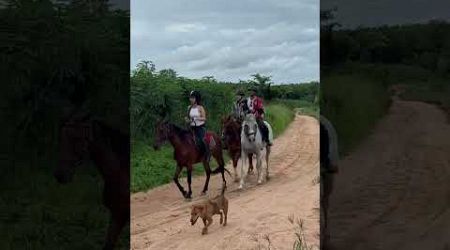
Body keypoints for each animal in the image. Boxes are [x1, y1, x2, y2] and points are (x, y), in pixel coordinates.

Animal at [54, 114, 130, 250]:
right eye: (60, 139)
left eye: (77, 138)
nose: (60, 174)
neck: (120, 172)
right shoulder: (117, 215)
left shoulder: (121, 214)